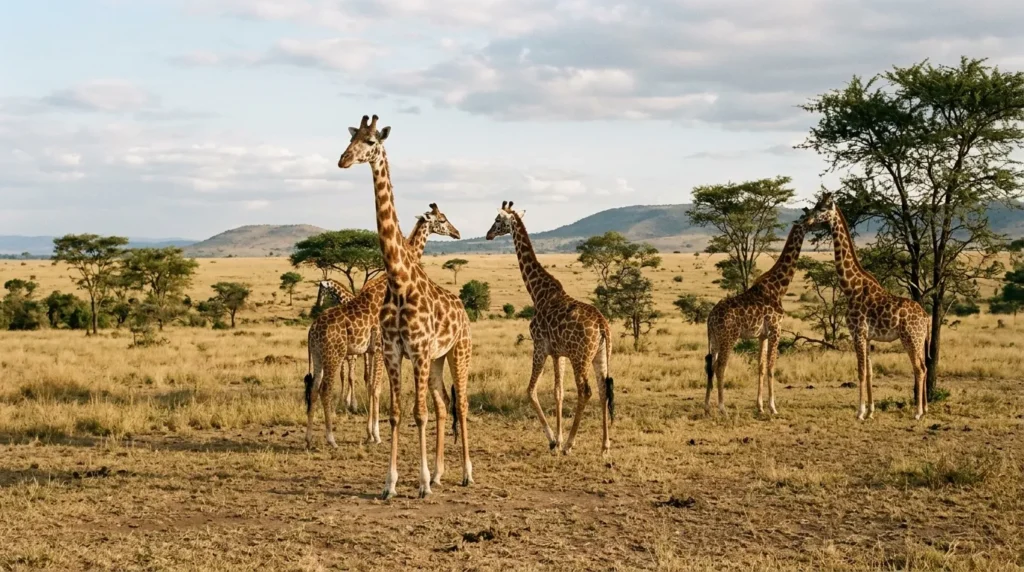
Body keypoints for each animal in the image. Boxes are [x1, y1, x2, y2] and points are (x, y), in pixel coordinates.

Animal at [303, 203, 462, 448]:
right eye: (443, 220)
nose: (457, 233)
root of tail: (311, 331)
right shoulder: (379, 347)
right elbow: (375, 388)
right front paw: (376, 434)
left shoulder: (374, 350)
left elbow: (372, 386)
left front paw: (371, 432)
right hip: (334, 354)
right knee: (325, 389)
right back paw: (331, 438)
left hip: (319, 356)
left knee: (312, 389)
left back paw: (310, 438)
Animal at [338, 114, 473, 499]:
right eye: (352, 139)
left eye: (371, 142)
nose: (343, 160)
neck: (399, 280)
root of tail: (463, 311)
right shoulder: (393, 351)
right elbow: (398, 412)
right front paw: (391, 483)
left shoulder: (419, 350)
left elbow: (419, 413)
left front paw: (423, 483)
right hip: (438, 360)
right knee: (443, 405)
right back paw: (442, 473)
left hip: (458, 352)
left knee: (461, 404)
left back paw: (466, 474)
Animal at [485, 201, 614, 455]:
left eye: (497, 220)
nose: (488, 234)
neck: (538, 292)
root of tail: (602, 325)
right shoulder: (558, 353)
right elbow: (558, 392)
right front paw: (559, 437)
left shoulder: (540, 346)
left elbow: (530, 390)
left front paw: (555, 441)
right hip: (601, 355)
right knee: (603, 390)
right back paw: (605, 446)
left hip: (580, 357)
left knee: (586, 391)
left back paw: (571, 444)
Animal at [704, 211, 811, 416]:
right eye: (811, 216)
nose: (818, 222)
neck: (778, 288)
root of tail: (710, 319)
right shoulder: (776, 329)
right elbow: (771, 366)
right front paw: (773, 407)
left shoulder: (763, 335)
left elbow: (760, 366)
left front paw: (760, 406)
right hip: (729, 337)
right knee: (721, 367)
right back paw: (722, 408)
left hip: (714, 339)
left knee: (711, 367)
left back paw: (706, 406)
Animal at [804, 193, 930, 420]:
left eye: (822, 208)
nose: (807, 220)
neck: (851, 287)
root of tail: (926, 317)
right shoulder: (868, 336)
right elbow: (870, 371)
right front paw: (871, 411)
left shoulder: (858, 332)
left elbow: (861, 371)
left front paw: (860, 412)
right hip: (919, 340)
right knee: (924, 366)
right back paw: (925, 409)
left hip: (911, 338)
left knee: (919, 369)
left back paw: (917, 413)